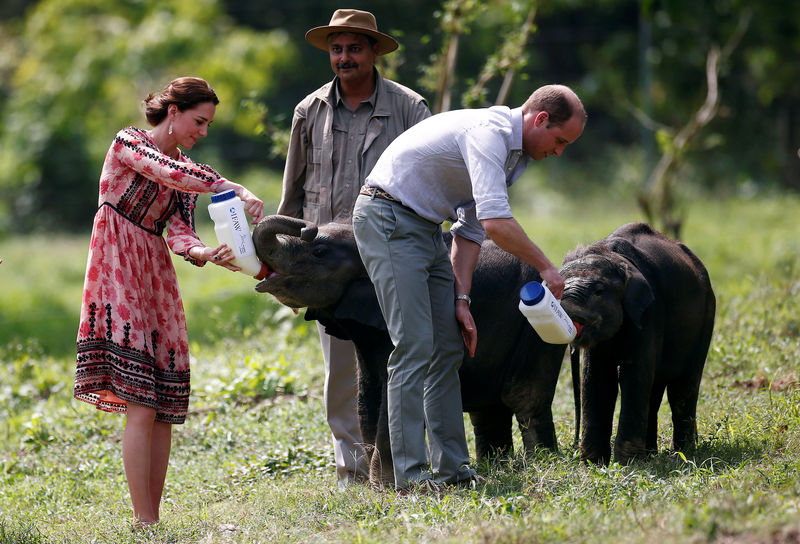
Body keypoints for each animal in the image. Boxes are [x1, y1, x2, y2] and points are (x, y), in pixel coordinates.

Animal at [560, 221, 716, 464]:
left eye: (599, 291)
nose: (574, 446)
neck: (613, 256)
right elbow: (597, 378)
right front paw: (593, 463)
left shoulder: (650, 312)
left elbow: (632, 374)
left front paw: (626, 464)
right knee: (655, 390)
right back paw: (651, 454)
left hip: (705, 317)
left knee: (683, 386)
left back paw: (683, 453)